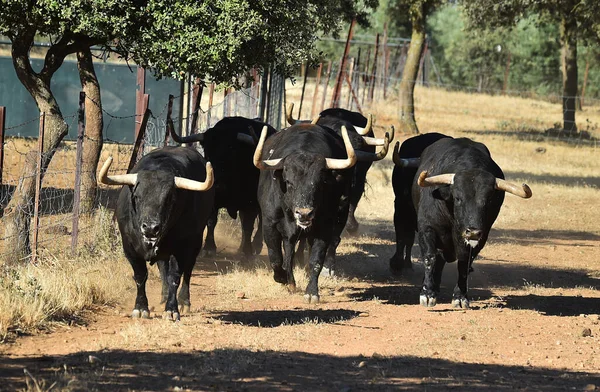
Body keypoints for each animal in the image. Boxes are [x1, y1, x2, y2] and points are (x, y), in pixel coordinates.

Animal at [100, 147, 216, 322]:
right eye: (137, 197)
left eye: (169, 198)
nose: (150, 228)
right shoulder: (129, 247)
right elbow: (141, 276)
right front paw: (141, 308)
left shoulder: (181, 248)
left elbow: (175, 276)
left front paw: (172, 310)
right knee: (163, 268)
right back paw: (164, 295)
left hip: (195, 243)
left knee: (188, 271)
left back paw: (184, 301)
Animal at [410, 138, 532, 310]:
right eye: (458, 197)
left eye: (488, 200)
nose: (472, 231)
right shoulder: (427, 228)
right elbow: (430, 258)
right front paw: (427, 294)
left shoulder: (480, 238)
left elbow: (464, 265)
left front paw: (460, 297)